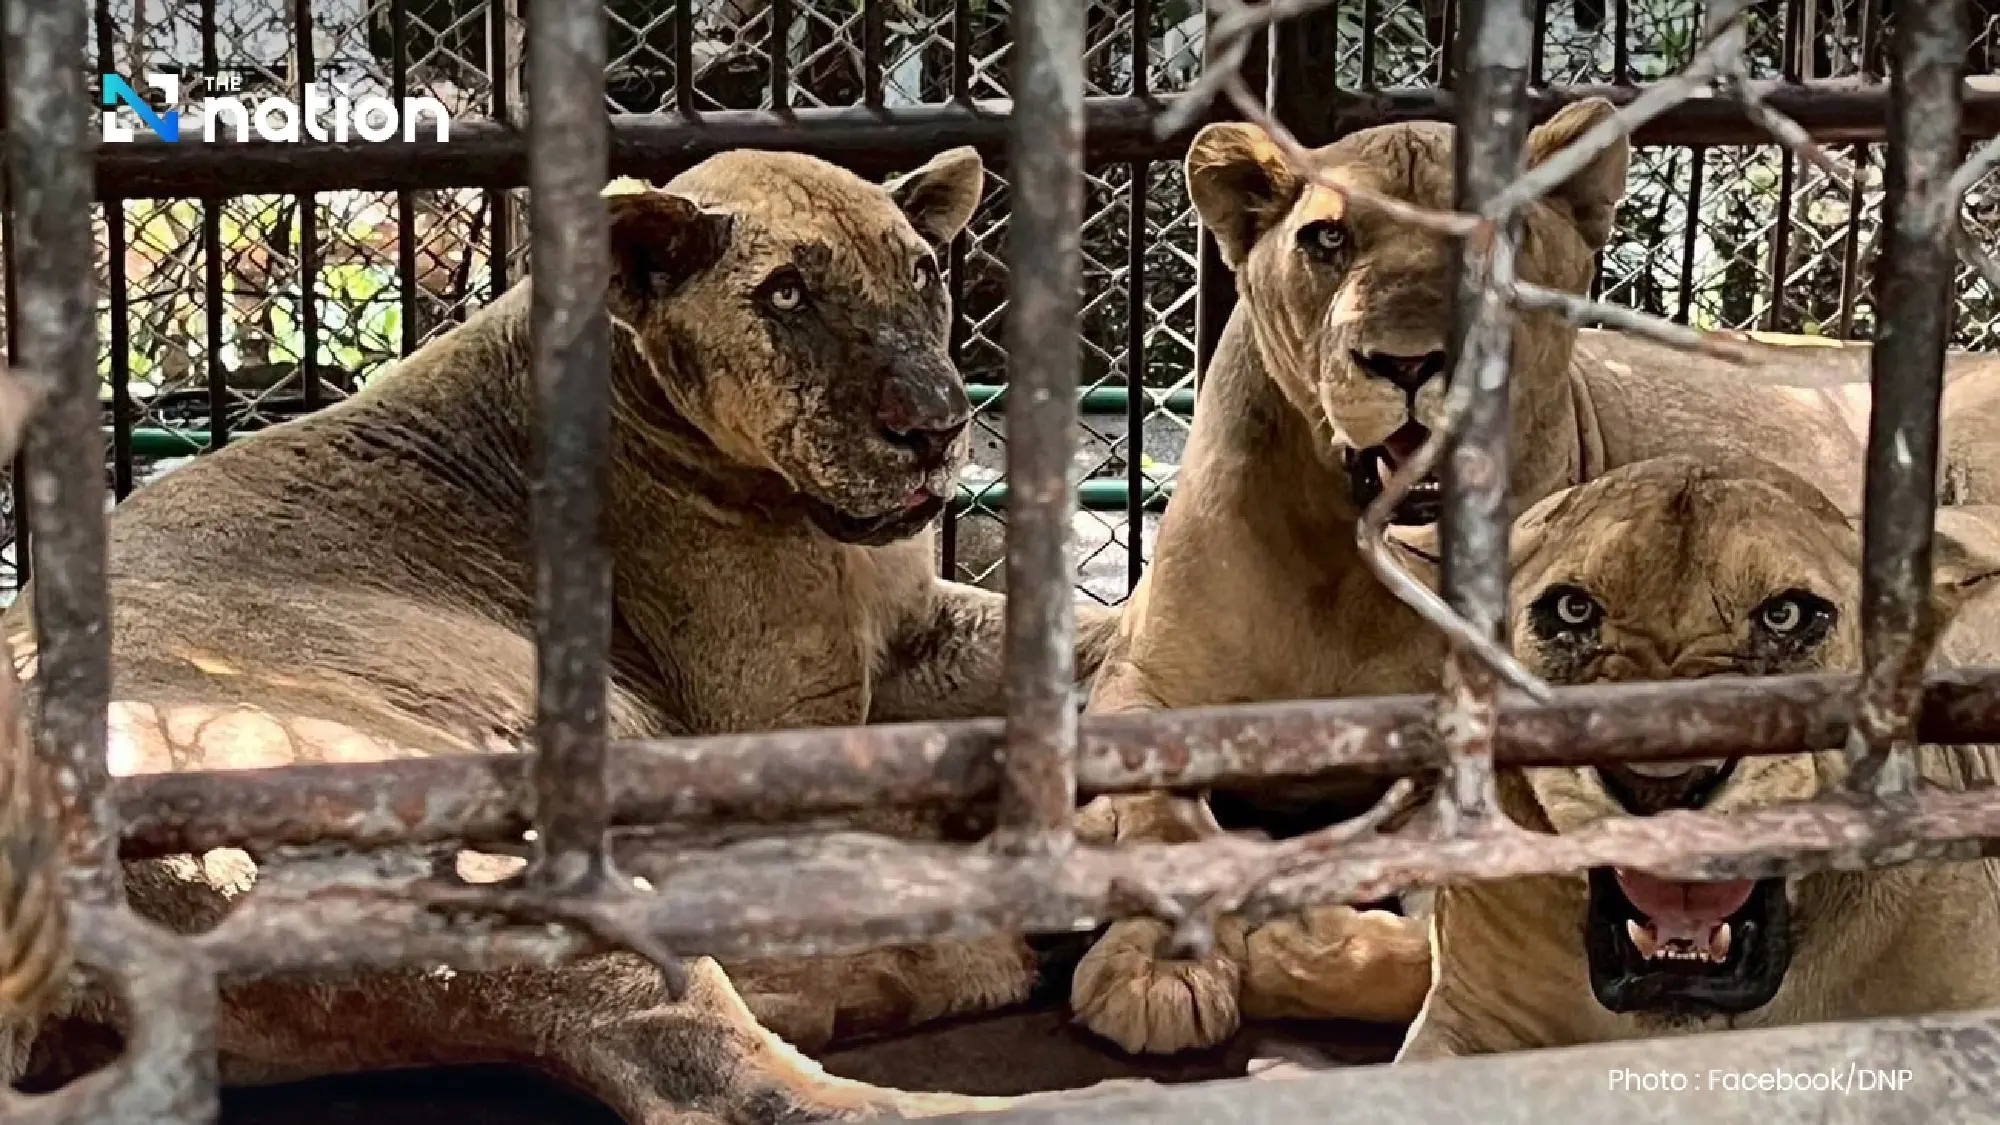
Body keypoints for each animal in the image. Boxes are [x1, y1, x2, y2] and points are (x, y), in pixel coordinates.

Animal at [0, 146, 1125, 1123]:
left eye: (923, 272)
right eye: (786, 296)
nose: (935, 425)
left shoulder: (914, 631)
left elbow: (1084, 635)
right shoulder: (781, 719)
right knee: (724, 1079)